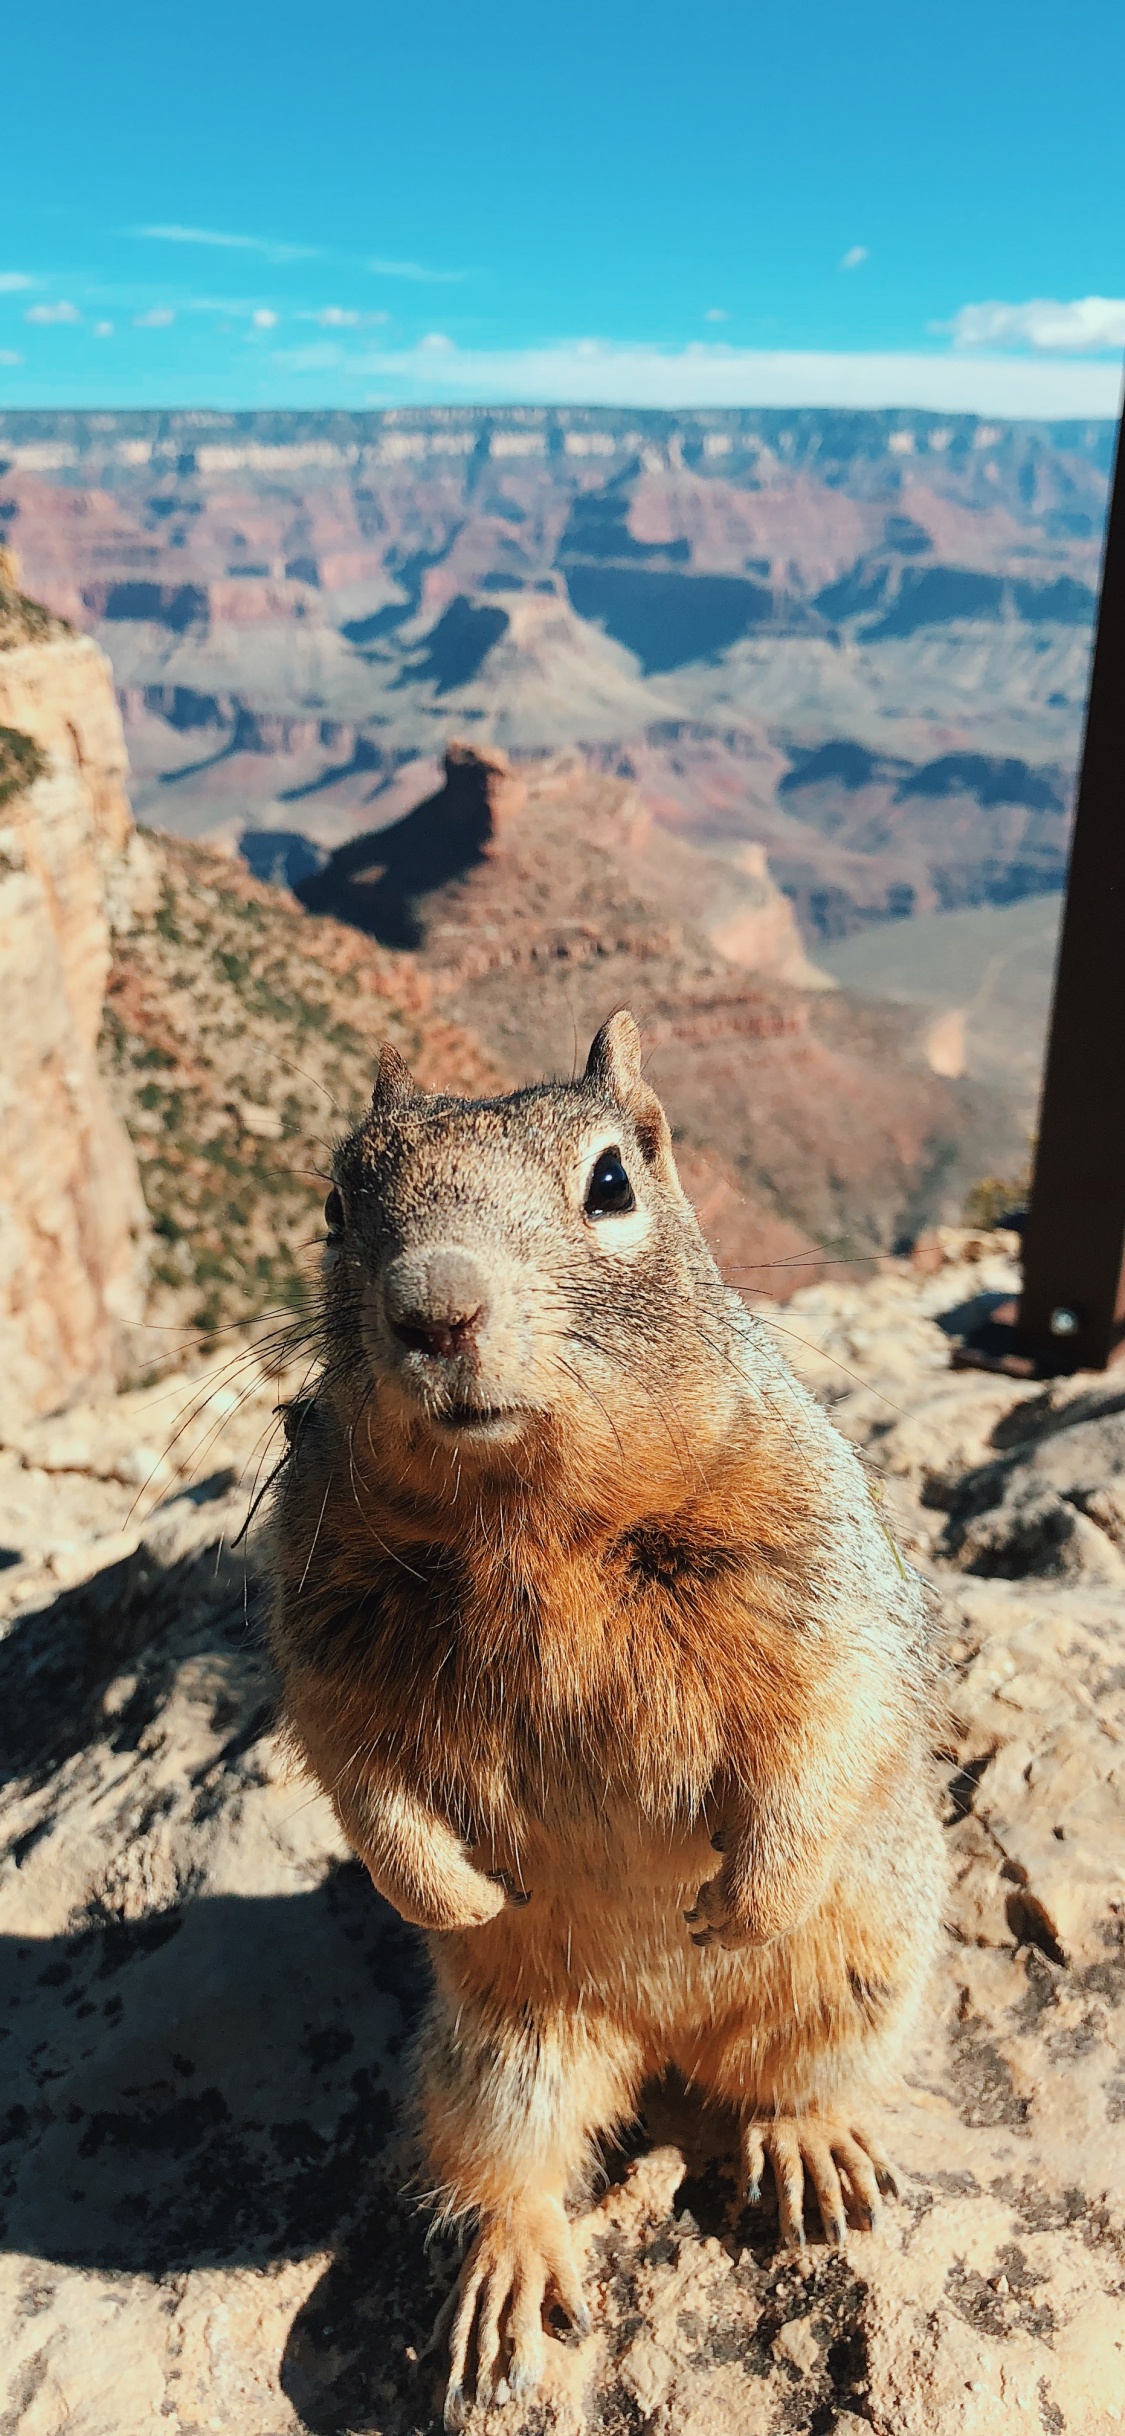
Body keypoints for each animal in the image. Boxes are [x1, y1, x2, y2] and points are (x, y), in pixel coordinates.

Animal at [268, 1010, 945, 2428]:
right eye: (337, 1203)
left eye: (614, 1181)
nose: (435, 1308)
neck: (533, 1522)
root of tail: (662, 2038)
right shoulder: (320, 1611)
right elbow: (358, 1771)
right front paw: (452, 1892)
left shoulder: (814, 1551)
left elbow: (833, 1705)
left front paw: (747, 1893)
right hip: (497, 2052)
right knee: (506, 2163)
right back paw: (510, 2277)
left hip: (864, 1972)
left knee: (789, 2079)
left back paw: (811, 2149)